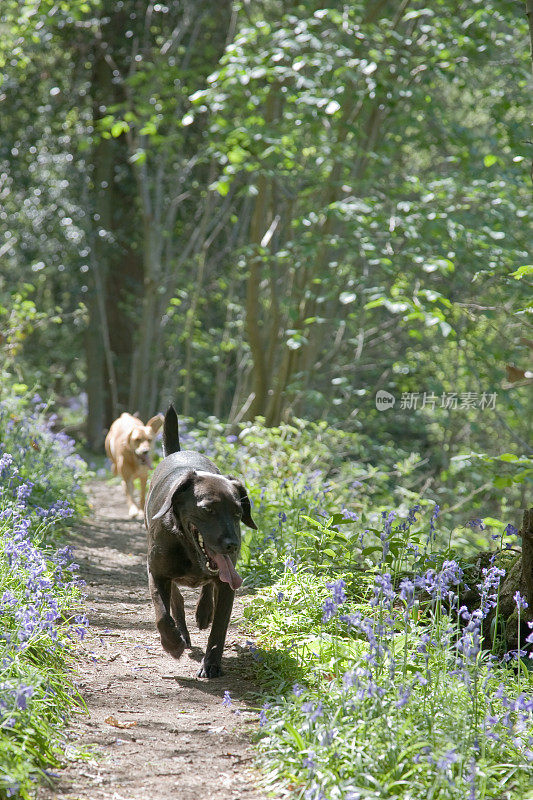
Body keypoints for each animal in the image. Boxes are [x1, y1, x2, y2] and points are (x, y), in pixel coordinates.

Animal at [143, 406, 256, 676]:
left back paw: (203, 613)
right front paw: (172, 644)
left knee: (207, 589)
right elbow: (162, 614)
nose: (233, 545)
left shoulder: (227, 585)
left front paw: (212, 663)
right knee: (176, 599)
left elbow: (220, 627)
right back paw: (182, 634)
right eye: (208, 510)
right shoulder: (156, 572)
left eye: (238, 512)